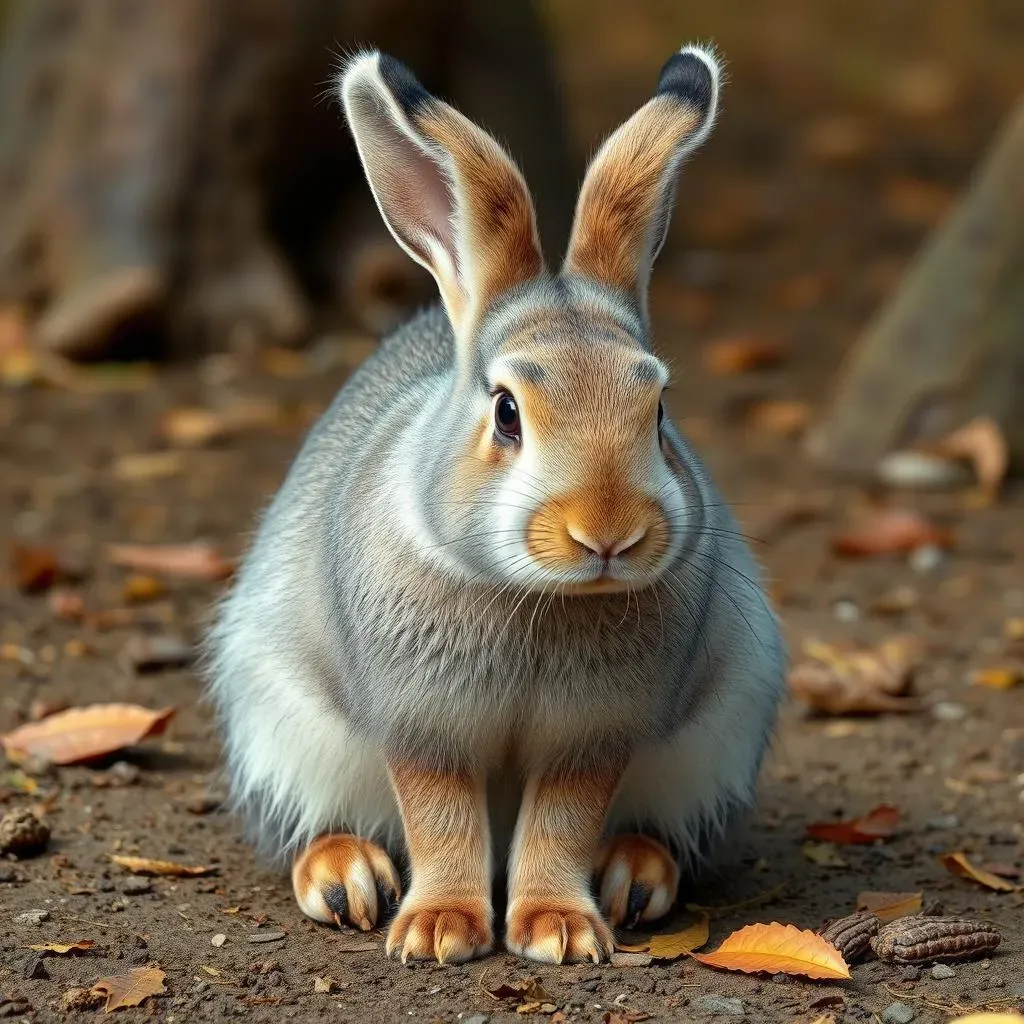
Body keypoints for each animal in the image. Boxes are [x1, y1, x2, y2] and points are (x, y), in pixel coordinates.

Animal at [205, 41, 782, 966]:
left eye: (658, 407)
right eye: (507, 411)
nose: (608, 533)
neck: (538, 595)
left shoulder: (594, 739)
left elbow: (560, 823)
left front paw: (557, 930)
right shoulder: (422, 728)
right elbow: (441, 820)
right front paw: (440, 930)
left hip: (716, 741)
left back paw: (633, 876)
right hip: (283, 726)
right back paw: (344, 878)